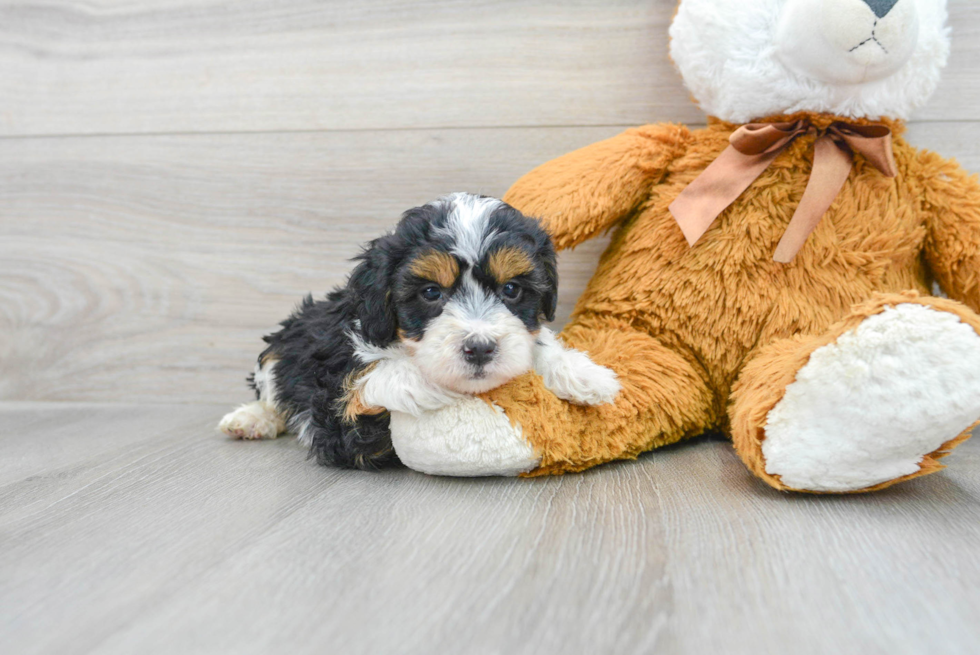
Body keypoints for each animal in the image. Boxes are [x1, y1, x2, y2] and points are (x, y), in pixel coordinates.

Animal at [220, 192, 620, 468]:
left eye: (511, 289)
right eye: (430, 293)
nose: (479, 348)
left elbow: (535, 343)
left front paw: (582, 373)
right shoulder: (336, 418)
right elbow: (366, 379)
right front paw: (428, 380)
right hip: (282, 345)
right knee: (271, 387)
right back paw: (250, 419)